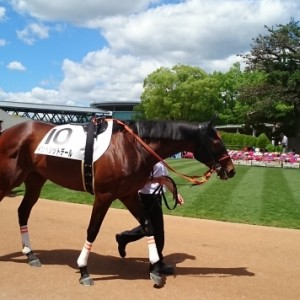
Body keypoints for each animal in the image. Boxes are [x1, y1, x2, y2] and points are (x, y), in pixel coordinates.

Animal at [0, 116, 234, 288]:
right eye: (216, 140)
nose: (231, 170)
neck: (131, 147)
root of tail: (7, 132)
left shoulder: (128, 194)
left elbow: (148, 225)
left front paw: (155, 269)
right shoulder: (104, 195)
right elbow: (93, 229)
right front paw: (83, 270)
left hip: (35, 180)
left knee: (23, 211)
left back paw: (31, 255)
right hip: (8, 181)